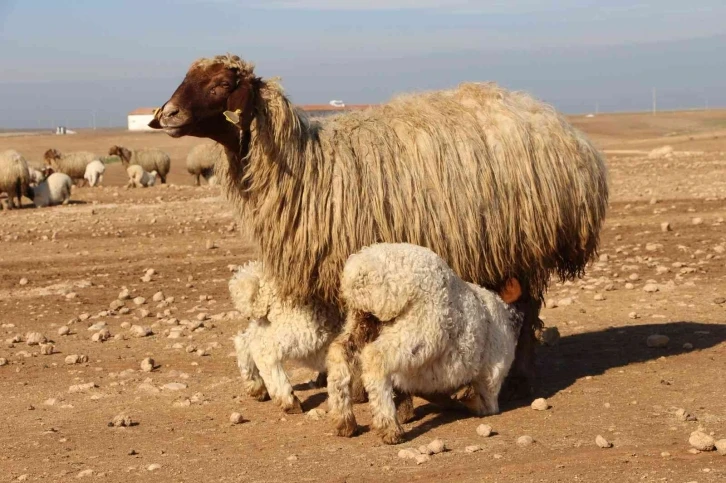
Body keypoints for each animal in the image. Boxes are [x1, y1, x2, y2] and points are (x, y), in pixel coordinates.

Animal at [230, 262, 342, 414]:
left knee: (245, 341)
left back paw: (255, 385)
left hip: (266, 321)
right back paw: (288, 400)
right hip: (301, 322)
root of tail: (264, 285)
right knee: (264, 351)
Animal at [328, 244, 524, 444]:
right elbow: (482, 405)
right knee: (376, 358)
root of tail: (362, 270)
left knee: (339, 352)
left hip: (362, 320)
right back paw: (390, 428)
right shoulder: (491, 380)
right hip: (419, 329)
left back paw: (344, 421)